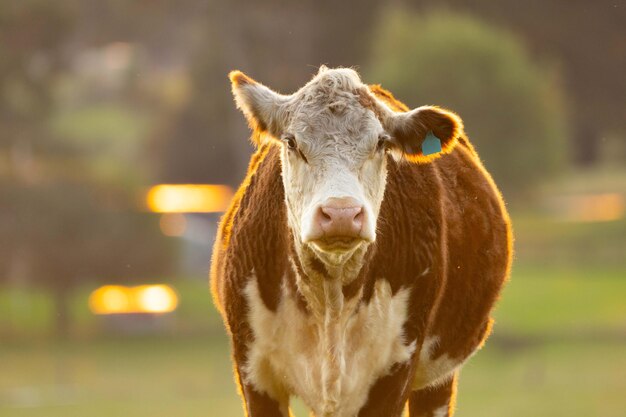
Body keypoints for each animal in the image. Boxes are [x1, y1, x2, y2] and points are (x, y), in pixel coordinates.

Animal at [210, 66, 508, 416]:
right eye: (292, 142)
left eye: (380, 143)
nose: (341, 213)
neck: (330, 298)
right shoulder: (254, 371)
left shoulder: (397, 368)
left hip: (437, 380)